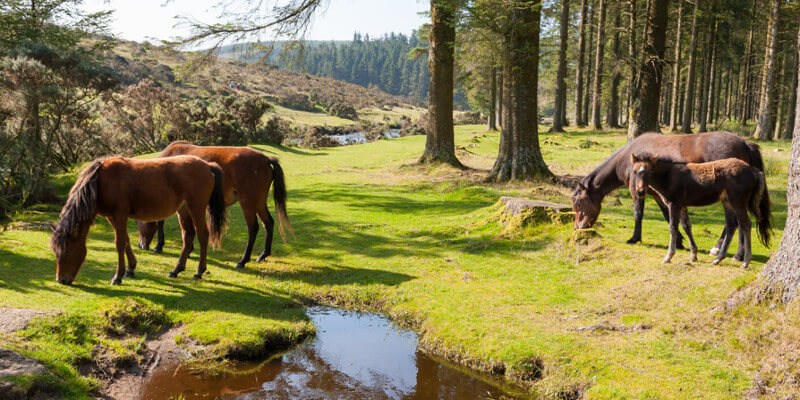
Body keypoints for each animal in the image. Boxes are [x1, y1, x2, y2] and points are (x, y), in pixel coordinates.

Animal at [50, 155, 227, 284]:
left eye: (67, 252)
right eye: (55, 252)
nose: (61, 280)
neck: (99, 182)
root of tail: (207, 165)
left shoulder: (119, 214)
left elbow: (119, 243)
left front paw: (118, 276)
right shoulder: (111, 217)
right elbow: (126, 240)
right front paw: (130, 269)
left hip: (196, 208)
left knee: (203, 235)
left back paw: (198, 272)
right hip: (183, 210)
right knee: (188, 236)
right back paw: (176, 270)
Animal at [138, 142, 294, 270]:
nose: (141, 245)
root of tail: (266, 159)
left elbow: (161, 222)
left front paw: (159, 246)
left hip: (248, 202)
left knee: (253, 228)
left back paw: (243, 260)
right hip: (259, 202)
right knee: (268, 223)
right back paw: (263, 255)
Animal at [568, 130, 764, 258]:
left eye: (578, 203)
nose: (578, 227)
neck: (628, 160)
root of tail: (744, 143)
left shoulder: (636, 191)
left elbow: (638, 214)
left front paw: (634, 238)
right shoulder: (659, 195)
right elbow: (668, 216)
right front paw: (679, 241)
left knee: (736, 222)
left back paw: (722, 250)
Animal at [628, 154, 772, 268]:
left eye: (650, 170)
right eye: (634, 171)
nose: (640, 192)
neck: (668, 177)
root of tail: (753, 171)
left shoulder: (674, 204)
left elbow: (673, 227)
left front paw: (668, 257)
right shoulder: (683, 205)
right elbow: (686, 227)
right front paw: (693, 255)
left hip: (738, 202)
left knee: (745, 224)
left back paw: (745, 261)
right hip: (727, 202)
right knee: (732, 225)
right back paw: (718, 259)